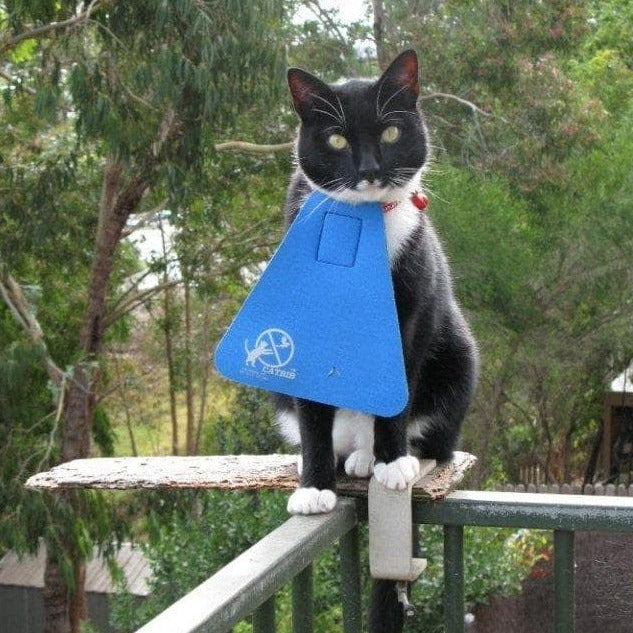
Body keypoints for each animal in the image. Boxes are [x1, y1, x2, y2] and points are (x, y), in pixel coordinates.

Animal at [274, 50, 476, 632]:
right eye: (338, 139)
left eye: (389, 131)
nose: (367, 171)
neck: (363, 230)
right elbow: (314, 412)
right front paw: (314, 487)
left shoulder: (411, 313)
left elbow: (397, 393)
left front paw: (392, 463)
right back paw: (350, 459)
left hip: (458, 357)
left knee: (436, 437)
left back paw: (388, 458)